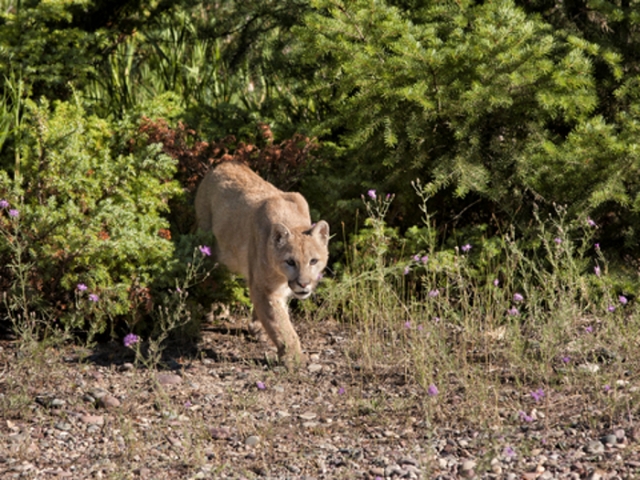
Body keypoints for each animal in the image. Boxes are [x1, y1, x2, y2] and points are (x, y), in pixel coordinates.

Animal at [195, 162, 330, 368]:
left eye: (313, 261)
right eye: (290, 262)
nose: (303, 284)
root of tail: (224, 163)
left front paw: (257, 328)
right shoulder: (266, 289)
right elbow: (281, 323)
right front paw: (293, 357)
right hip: (208, 246)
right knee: (213, 278)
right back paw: (214, 311)